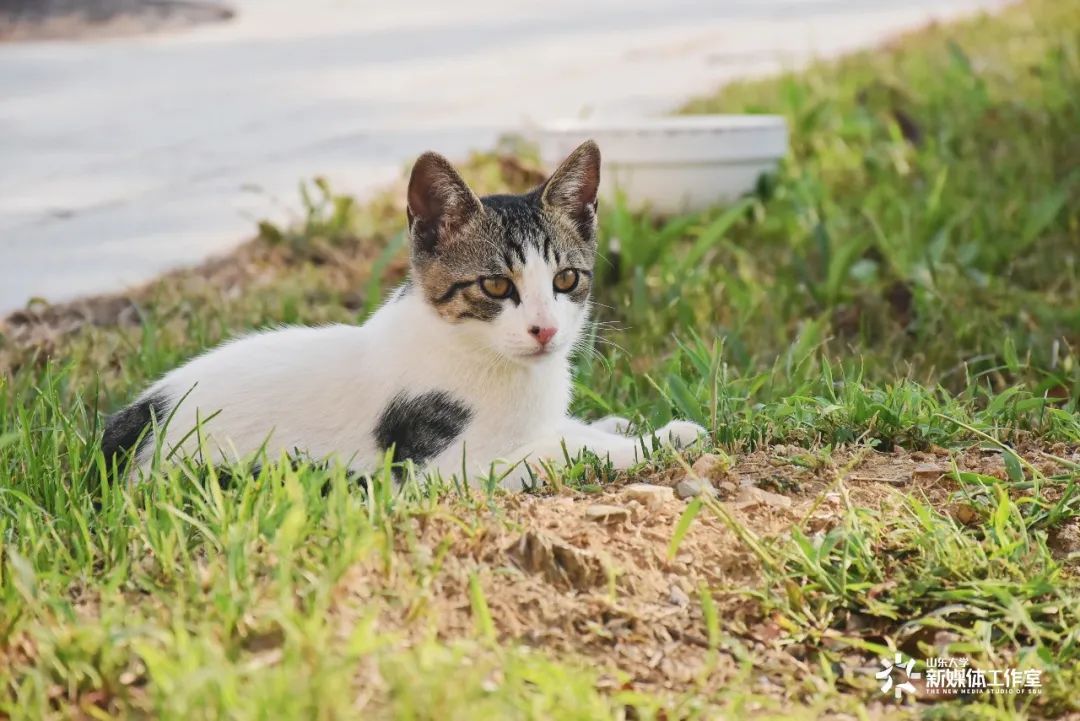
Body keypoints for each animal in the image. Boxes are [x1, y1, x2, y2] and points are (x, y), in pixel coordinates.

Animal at [105, 140, 704, 490]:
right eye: (495, 284)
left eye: (566, 280)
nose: (546, 329)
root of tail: (124, 431)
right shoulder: (438, 469)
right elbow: (555, 450)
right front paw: (646, 442)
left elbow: (564, 428)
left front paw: (629, 423)